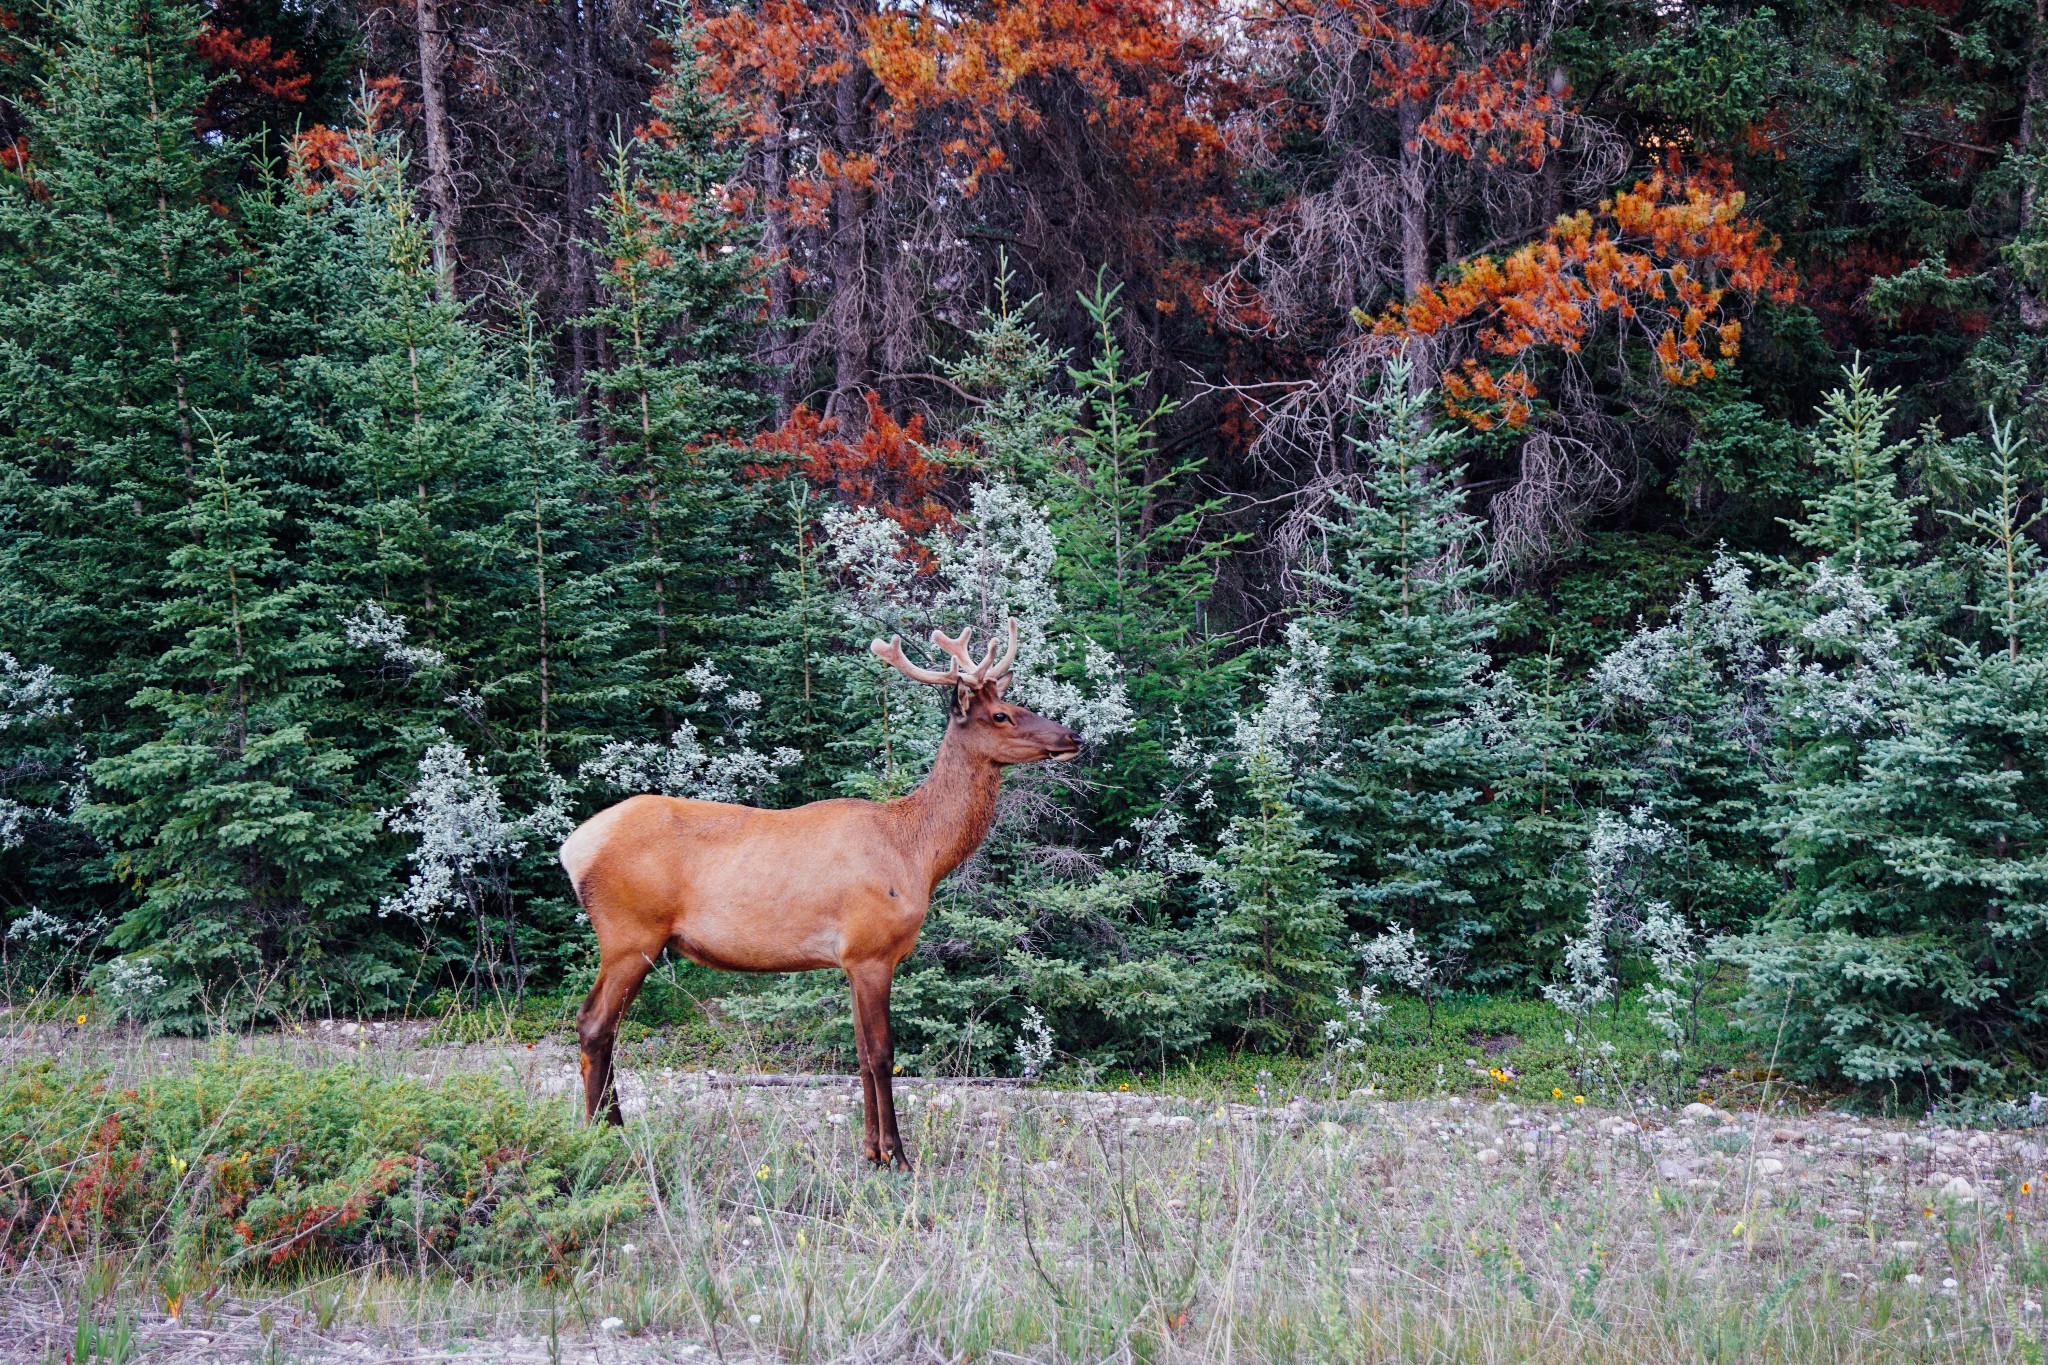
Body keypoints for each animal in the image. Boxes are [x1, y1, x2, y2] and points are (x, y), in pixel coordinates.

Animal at [552, 626, 1081, 1170]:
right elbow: (882, 1054)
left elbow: (860, 1054)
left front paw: (870, 1152)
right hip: (630, 933)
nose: (1073, 738)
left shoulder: (849, 960)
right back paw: (607, 1133)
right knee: (595, 1024)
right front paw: (897, 1156)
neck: (918, 853)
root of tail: (572, 848)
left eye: (1015, 702)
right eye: (1001, 715)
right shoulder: (872, 950)